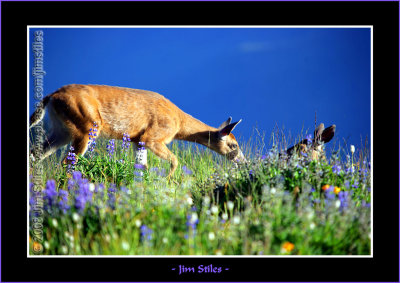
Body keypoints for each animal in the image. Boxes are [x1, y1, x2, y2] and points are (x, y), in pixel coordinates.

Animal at [28, 84, 247, 178]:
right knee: (68, 162)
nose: (245, 162)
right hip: (87, 126)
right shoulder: (153, 137)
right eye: (233, 145)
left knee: (35, 154)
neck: (178, 124)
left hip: (62, 130)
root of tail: (51, 96)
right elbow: (175, 160)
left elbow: (141, 166)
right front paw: (168, 180)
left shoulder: (136, 140)